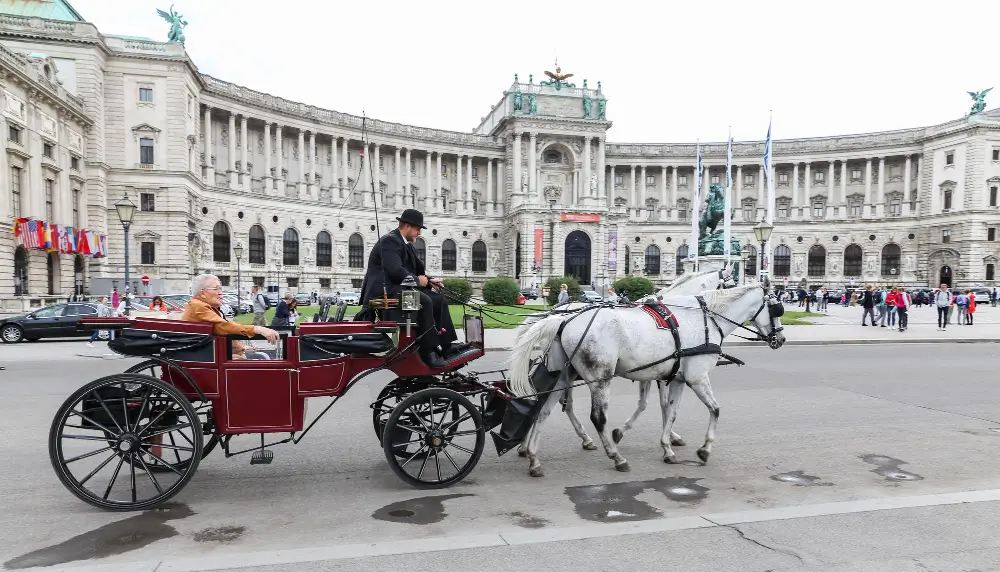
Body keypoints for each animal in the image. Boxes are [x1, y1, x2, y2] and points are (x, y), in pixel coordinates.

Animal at [508, 284, 780, 476]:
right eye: (777, 309)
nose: (781, 338)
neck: (704, 320)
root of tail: (564, 319)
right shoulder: (697, 377)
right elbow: (714, 409)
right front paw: (704, 449)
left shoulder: (674, 378)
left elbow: (669, 411)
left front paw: (668, 446)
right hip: (600, 378)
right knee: (596, 418)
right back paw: (615, 456)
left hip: (562, 376)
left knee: (544, 410)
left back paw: (533, 457)